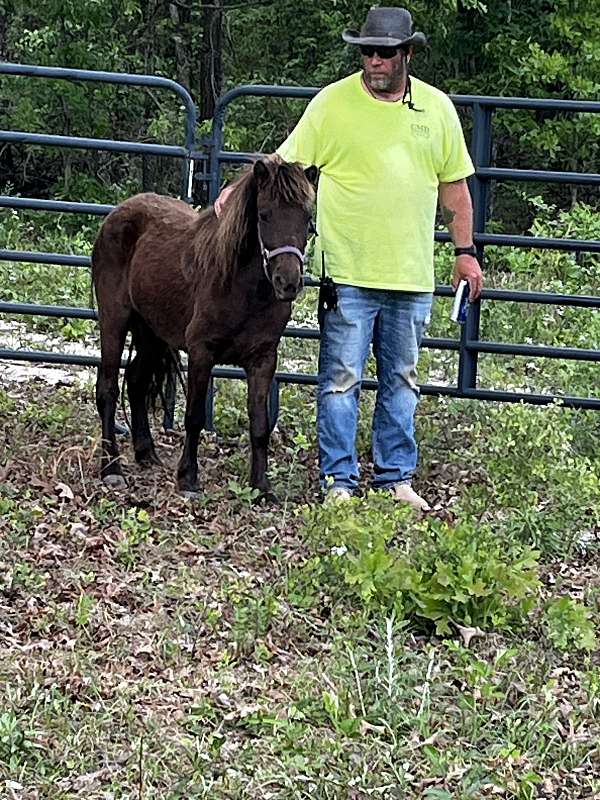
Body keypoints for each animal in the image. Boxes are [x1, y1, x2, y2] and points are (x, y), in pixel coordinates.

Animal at [91, 158, 316, 501]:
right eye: (265, 215)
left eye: (307, 217)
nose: (288, 282)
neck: (241, 288)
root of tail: (118, 213)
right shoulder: (202, 353)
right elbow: (194, 417)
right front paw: (188, 478)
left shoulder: (263, 360)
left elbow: (259, 425)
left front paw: (261, 486)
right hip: (114, 320)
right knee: (108, 389)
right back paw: (111, 468)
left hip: (151, 331)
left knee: (136, 380)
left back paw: (146, 453)